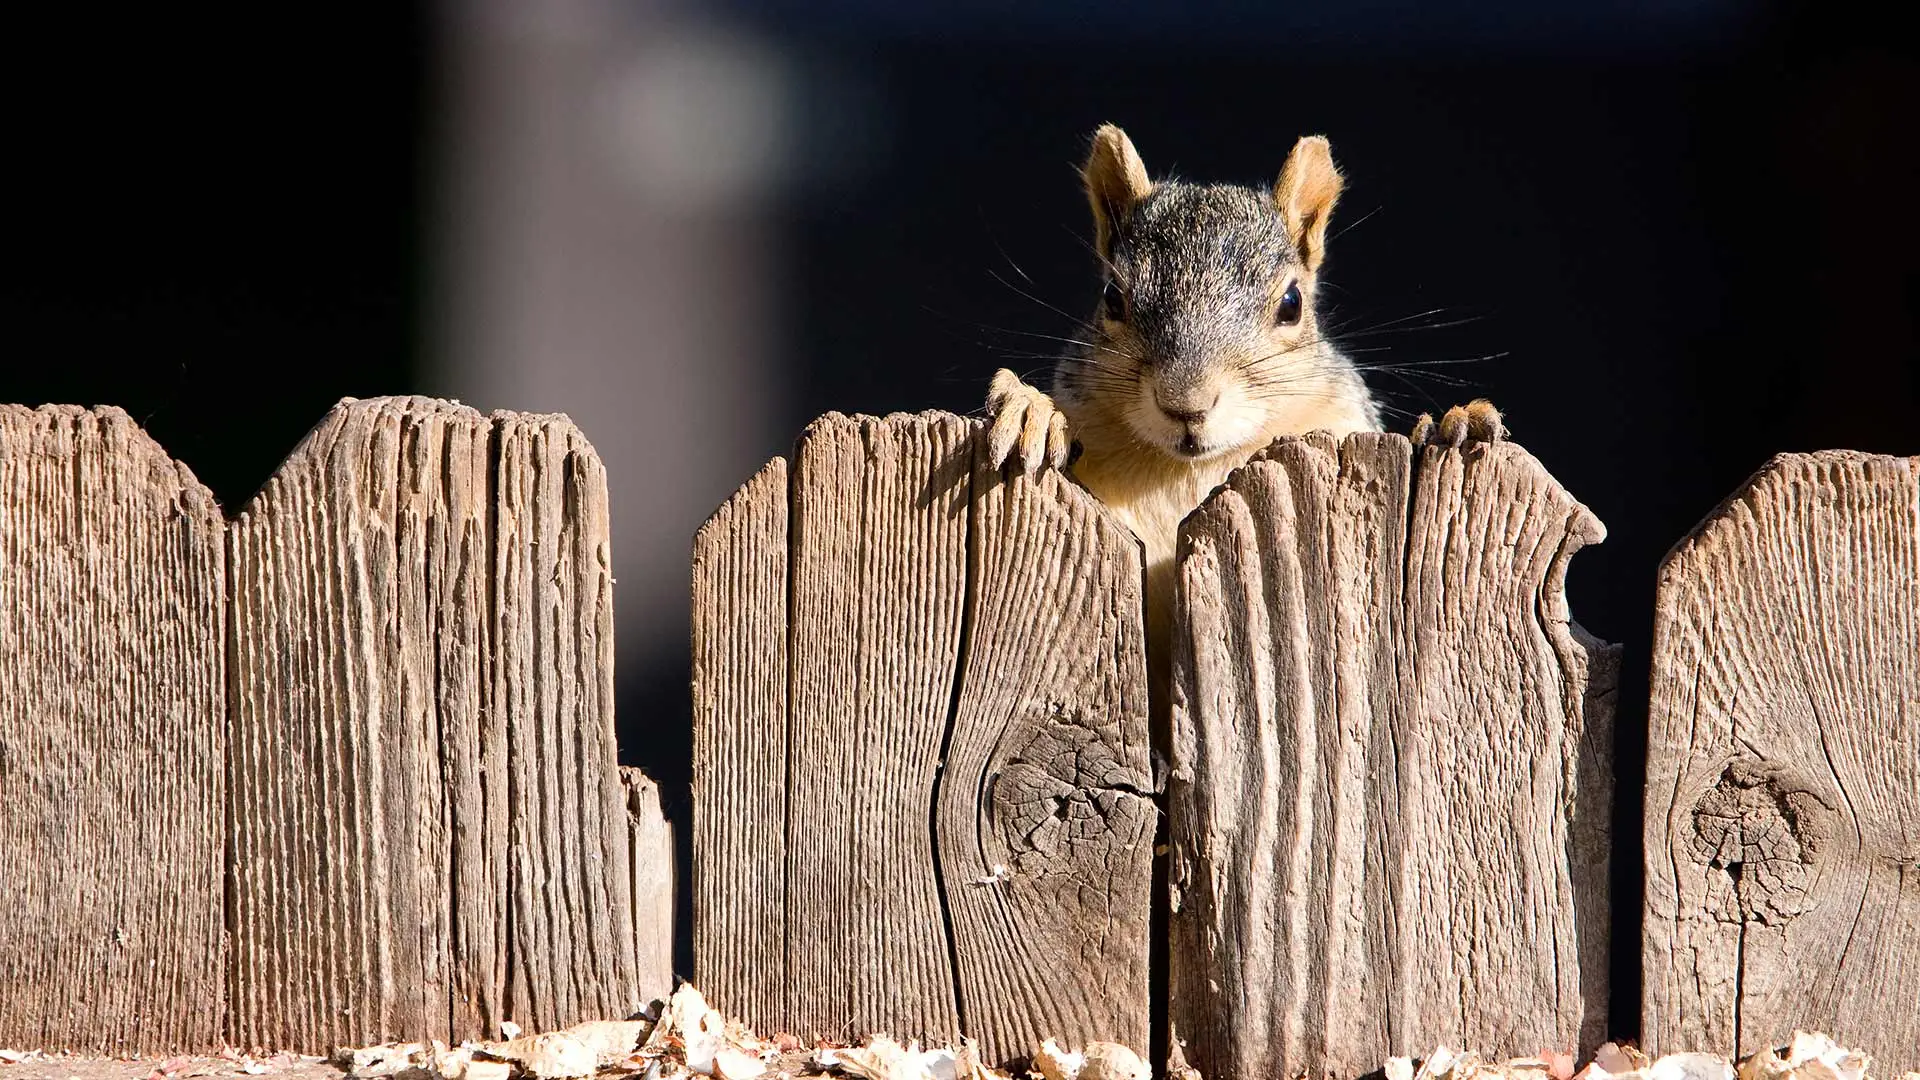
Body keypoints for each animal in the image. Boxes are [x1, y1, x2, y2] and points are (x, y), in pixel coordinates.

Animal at [985, 123, 1502, 709]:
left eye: (1292, 303)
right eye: (1112, 298)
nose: (1186, 403)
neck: (1190, 470)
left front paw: (1452, 424)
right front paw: (1030, 410)